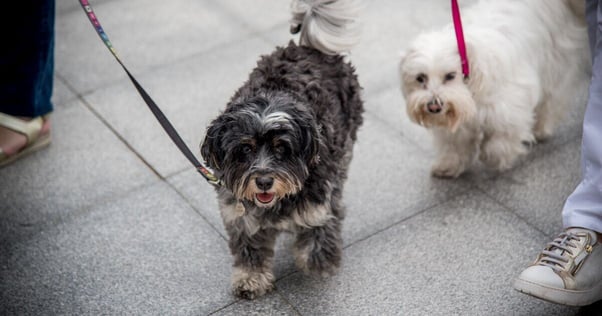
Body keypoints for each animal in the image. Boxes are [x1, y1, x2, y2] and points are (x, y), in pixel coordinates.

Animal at [200, 0, 360, 298]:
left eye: (281, 149)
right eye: (245, 149)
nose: (264, 181)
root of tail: (307, 47)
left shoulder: (319, 199)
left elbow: (318, 226)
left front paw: (319, 262)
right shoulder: (239, 214)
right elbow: (249, 249)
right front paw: (250, 278)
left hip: (345, 147)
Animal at [398, 0, 584, 178]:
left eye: (450, 76)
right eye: (420, 78)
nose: (433, 106)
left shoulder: (509, 110)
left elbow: (499, 142)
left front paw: (492, 157)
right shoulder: (456, 127)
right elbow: (454, 146)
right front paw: (448, 166)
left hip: (554, 65)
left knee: (550, 100)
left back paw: (540, 129)